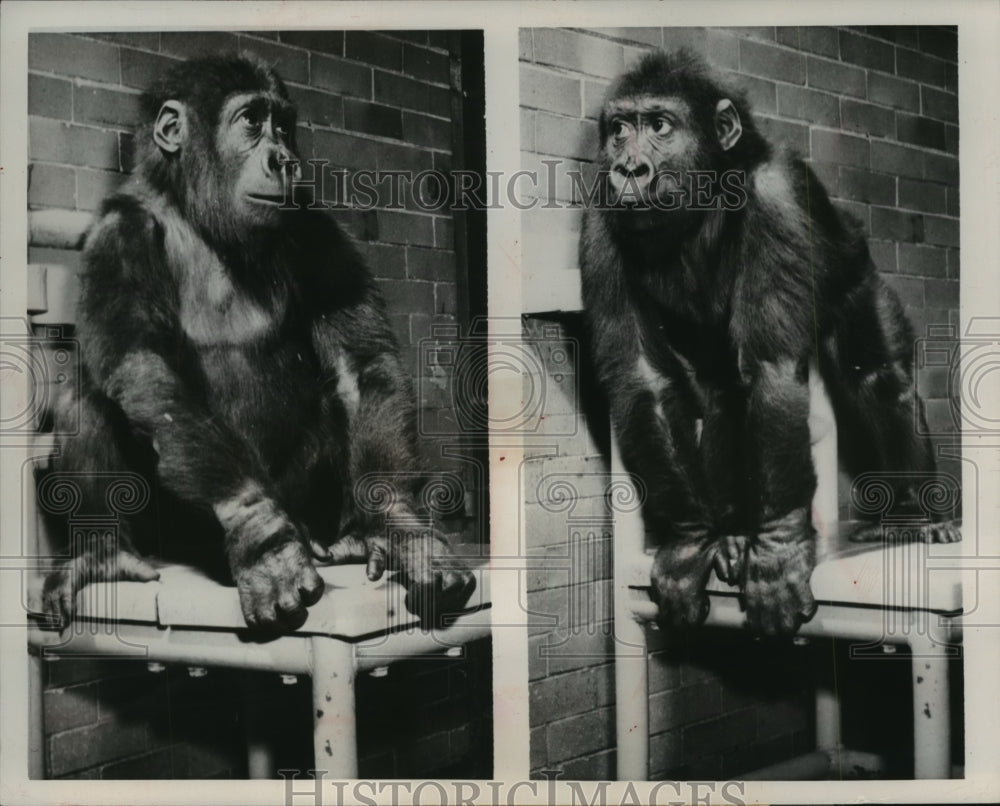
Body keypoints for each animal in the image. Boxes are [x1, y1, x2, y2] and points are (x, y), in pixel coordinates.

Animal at [41, 53, 474, 636]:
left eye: (284, 126)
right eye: (250, 121)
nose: (284, 158)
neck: (198, 214)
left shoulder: (316, 227)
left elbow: (359, 368)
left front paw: (403, 530)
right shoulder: (119, 233)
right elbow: (145, 368)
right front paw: (262, 538)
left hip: (308, 513)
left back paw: (352, 537)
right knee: (88, 392)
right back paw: (102, 554)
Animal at [584, 50, 960, 636]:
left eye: (660, 126)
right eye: (620, 129)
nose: (629, 167)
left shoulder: (780, 194)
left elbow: (772, 368)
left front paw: (780, 551)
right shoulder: (602, 216)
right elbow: (642, 375)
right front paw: (690, 544)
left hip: (857, 278)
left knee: (877, 377)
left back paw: (913, 519)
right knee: (726, 399)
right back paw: (734, 535)